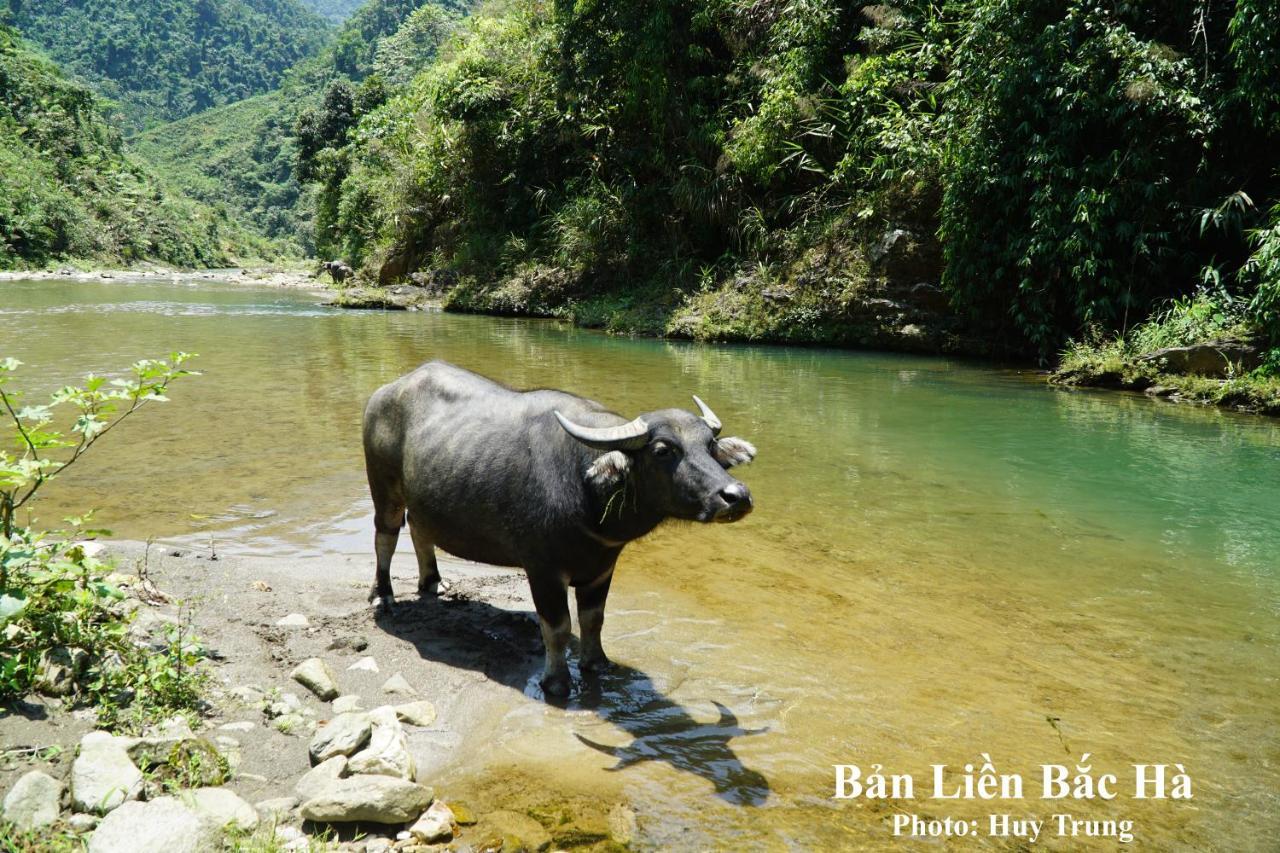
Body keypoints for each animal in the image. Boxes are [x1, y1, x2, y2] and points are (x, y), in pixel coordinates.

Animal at [360, 356, 752, 696]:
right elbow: (558, 627)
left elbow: (594, 619)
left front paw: (598, 663)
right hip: (385, 488)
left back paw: (433, 581)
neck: (588, 492)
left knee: (419, 529)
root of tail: (387, 391)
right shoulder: (543, 570)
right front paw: (557, 682)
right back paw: (384, 594)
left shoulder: (602, 567)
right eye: (662, 450)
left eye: (711, 446)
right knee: (386, 536)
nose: (737, 496)